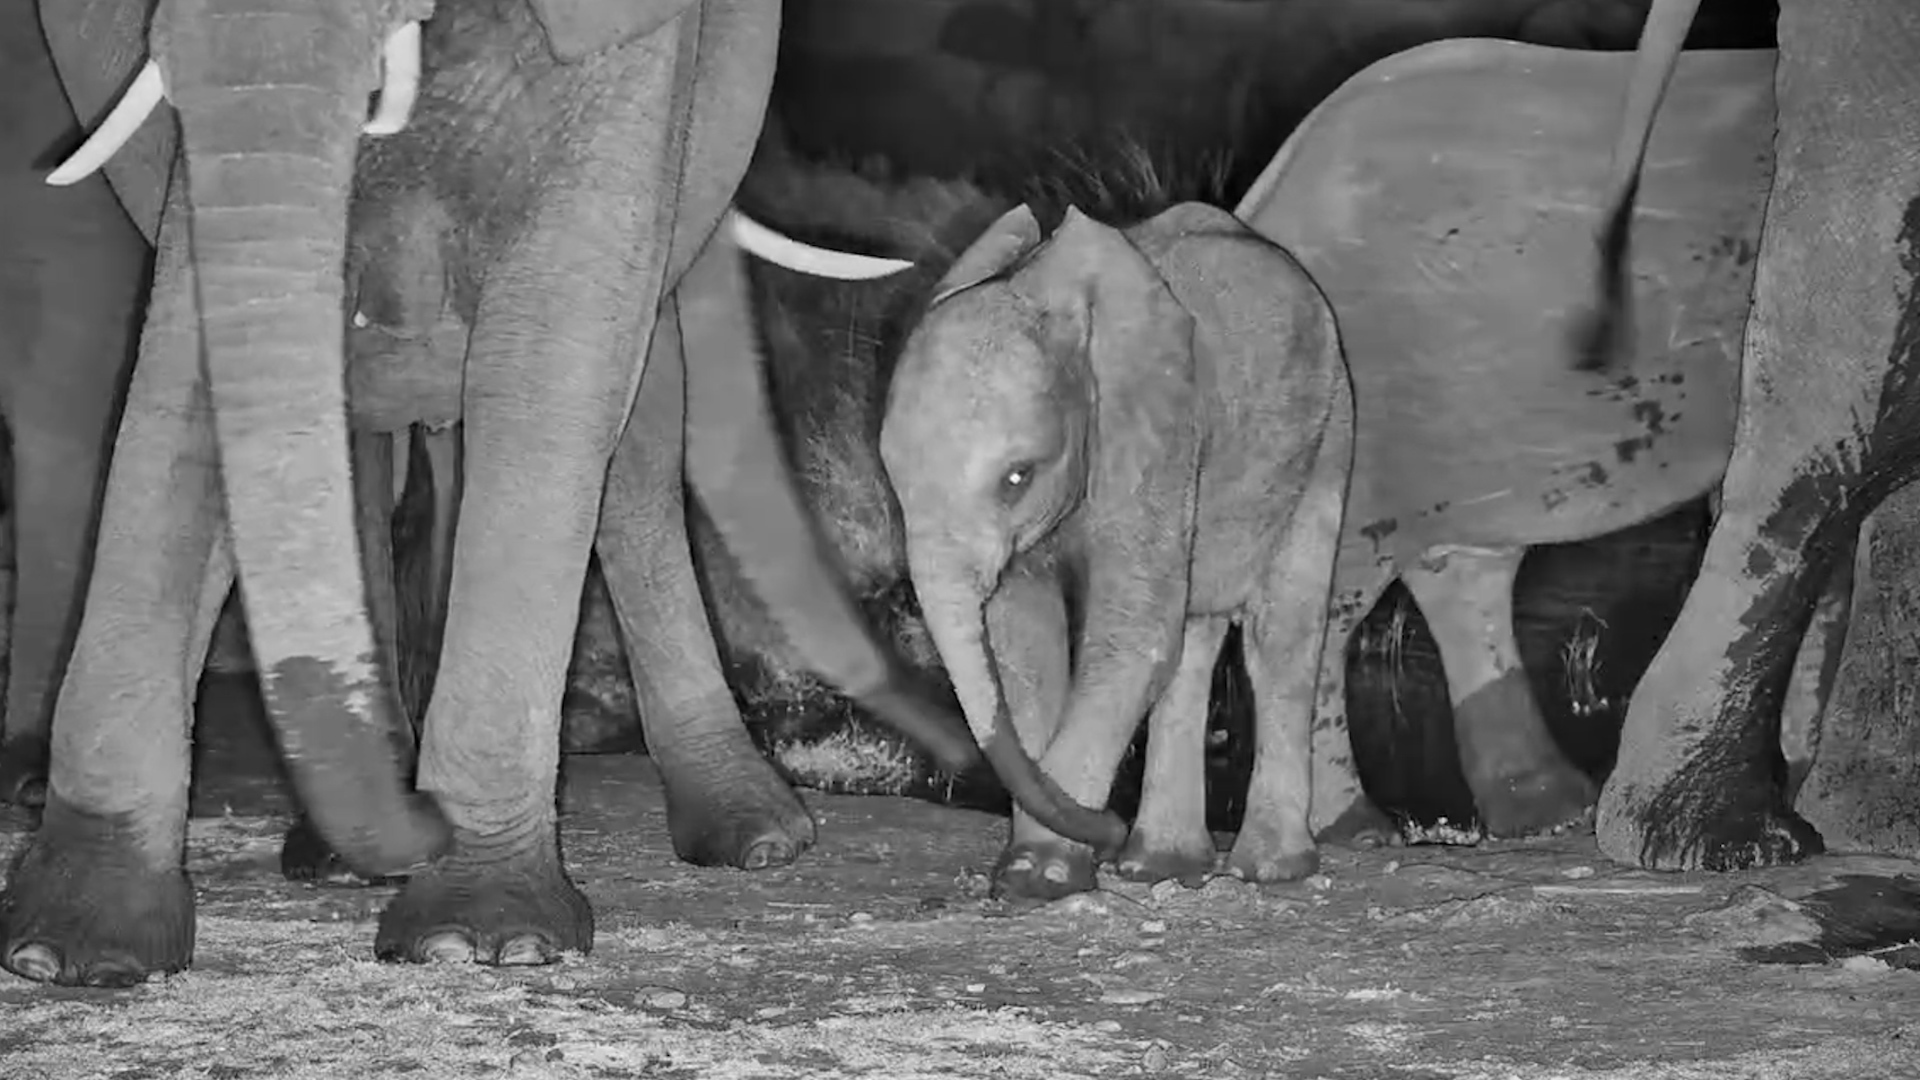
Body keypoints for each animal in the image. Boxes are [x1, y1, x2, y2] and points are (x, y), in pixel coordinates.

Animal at [2, 0, 1117, 988]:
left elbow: (548, 358)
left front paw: (480, 940)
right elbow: (186, 354)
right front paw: (69, 954)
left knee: (633, 432)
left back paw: (754, 839)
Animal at [879, 201, 1354, 899]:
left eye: (1017, 477)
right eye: (895, 480)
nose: (1107, 828)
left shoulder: (1158, 430)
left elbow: (1132, 635)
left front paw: (1038, 878)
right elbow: (1024, 643)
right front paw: (1038, 869)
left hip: (1330, 434)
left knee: (1280, 637)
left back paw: (1270, 869)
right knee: (1195, 633)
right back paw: (1160, 866)